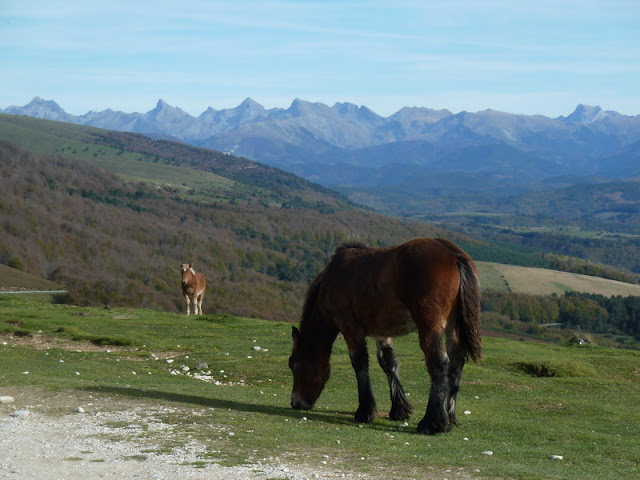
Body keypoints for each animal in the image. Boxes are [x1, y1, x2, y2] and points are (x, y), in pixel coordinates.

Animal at [288, 239, 480, 436]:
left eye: (293, 364)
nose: (295, 402)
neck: (331, 280)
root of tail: (452, 253)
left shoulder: (350, 327)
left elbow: (359, 363)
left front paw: (364, 412)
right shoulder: (382, 332)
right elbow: (388, 363)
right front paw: (398, 410)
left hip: (429, 324)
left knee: (438, 362)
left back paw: (431, 422)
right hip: (453, 325)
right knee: (456, 362)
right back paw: (449, 418)